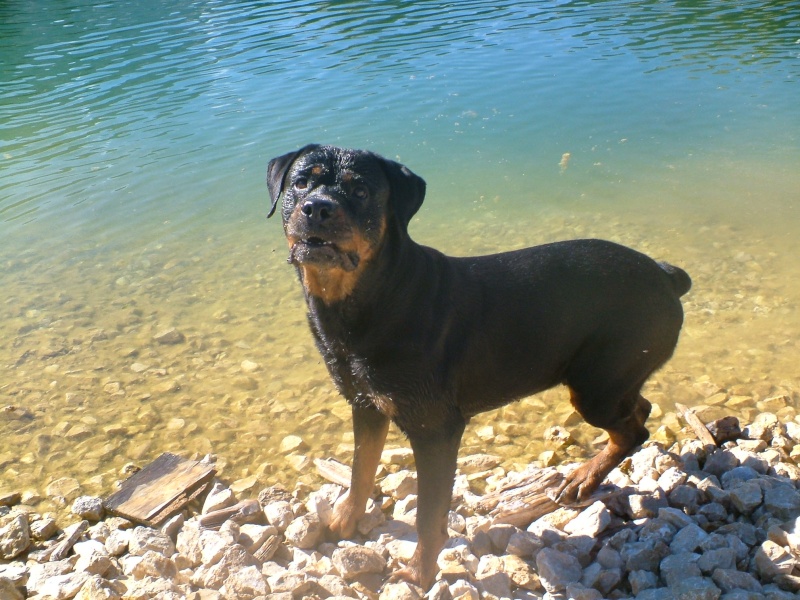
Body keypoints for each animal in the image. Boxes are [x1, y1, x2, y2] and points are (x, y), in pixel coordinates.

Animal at [266, 145, 692, 592]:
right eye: (300, 183)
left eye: (361, 191)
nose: (318, 208)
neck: (373, 299)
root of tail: (666, 276)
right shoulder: (365, 405)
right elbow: (359, 471)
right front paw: (344, 522)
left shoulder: (435, 428)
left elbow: (428, 514)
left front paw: (419, 574)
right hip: (613, 376)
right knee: (639, 411)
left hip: (597, 384)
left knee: (633, 429)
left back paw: (582, 478)